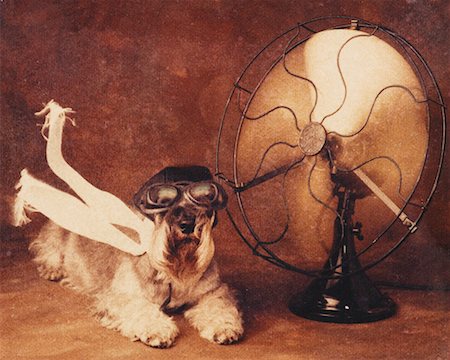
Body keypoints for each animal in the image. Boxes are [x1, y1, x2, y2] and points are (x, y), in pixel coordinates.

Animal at [29, 166, 243, 348]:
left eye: (205, 198)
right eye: (163, 202)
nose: (188, 223)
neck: (172, 271)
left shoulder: (212, 291)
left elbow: (218, 306)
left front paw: (223, 326)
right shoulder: (122, 296)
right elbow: (141, 307)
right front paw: (157, 329)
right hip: (56, 233)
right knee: (47, 246)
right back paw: (51, 268)